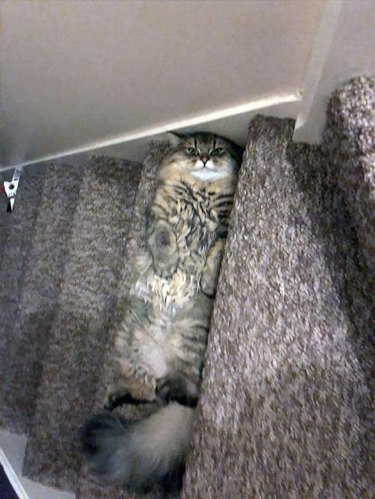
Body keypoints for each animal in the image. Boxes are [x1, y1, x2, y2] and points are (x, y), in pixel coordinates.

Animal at [80, 131, 242, 494]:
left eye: (218, 149)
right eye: (192, 149)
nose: (205, 159)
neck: (198, 193)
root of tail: (159, 362)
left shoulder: (224, 229)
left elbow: (214, 252)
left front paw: (206, 280)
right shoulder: (158, 219)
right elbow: (166, 240)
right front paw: (167, 267)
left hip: (189, 351)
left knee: (178, 397)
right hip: (129, 340)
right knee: (145, 393)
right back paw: (116, 399)